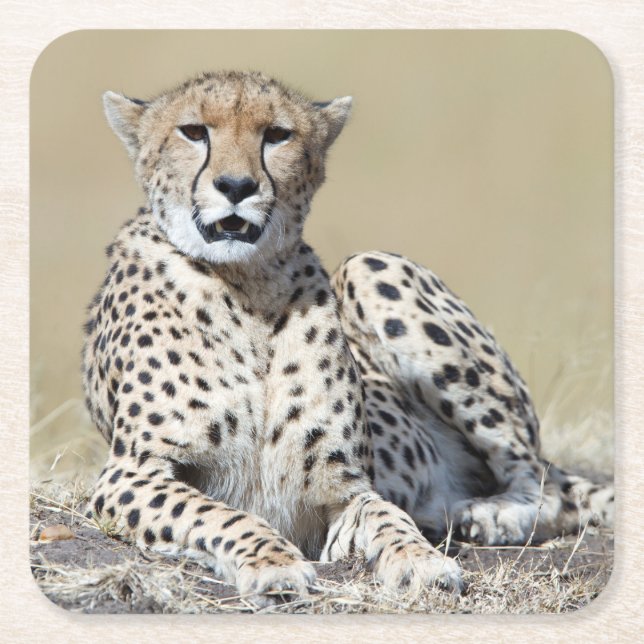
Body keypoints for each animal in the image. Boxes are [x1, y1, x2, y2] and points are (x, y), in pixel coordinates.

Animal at [82, 70, 613, 606]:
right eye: (193, 132)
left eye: (277, 135)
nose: (236, 186)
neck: (248, 287)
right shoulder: (131, 473)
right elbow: (217, 513)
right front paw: (272, 564)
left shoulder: (346, 491)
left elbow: (388, 515)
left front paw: (421, 560)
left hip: (371, 266)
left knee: (545, 482)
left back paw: (492, 514)